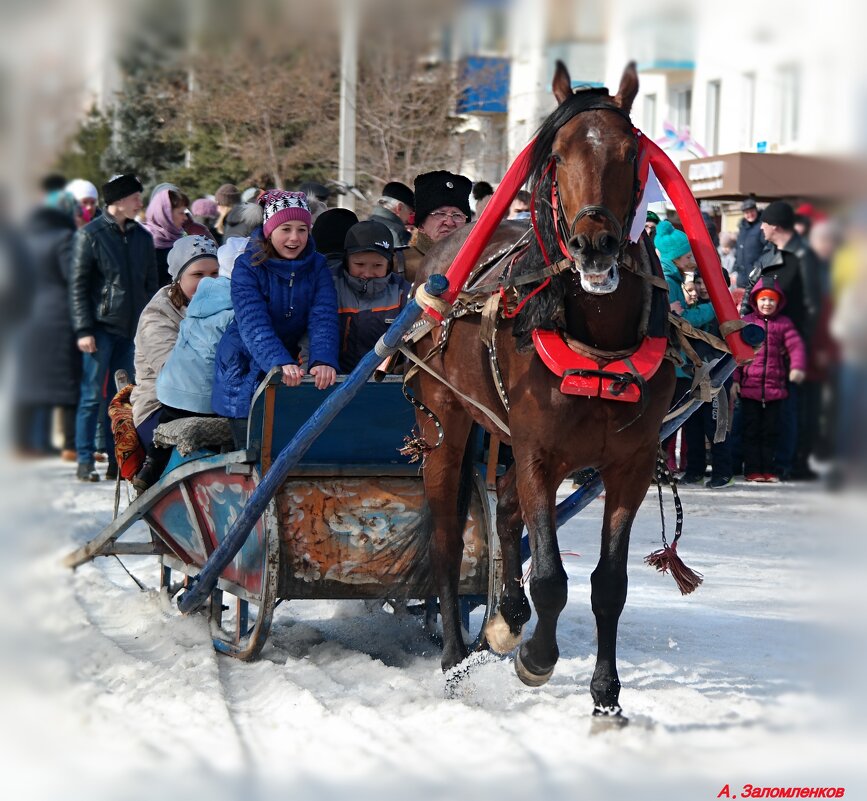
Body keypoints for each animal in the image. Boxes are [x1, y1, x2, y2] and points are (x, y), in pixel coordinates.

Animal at [414, 62, 680, 712]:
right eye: (557, 154)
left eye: (631, 152)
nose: (595, 245)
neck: (600, 343)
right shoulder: (539, 449)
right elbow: (552, 576)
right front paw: (537, 656)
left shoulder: (630, 462)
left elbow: (609, 583)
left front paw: (606, 694)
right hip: (447, 420)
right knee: (446, 538)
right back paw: (455, 658)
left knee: (508, 510)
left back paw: (506, 616)